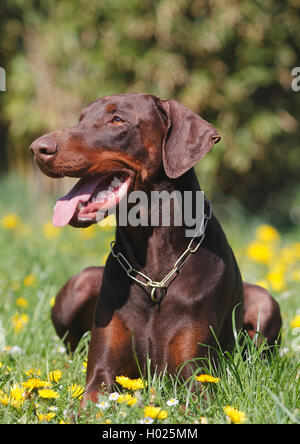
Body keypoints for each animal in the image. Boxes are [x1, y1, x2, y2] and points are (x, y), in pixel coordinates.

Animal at [29, 93, 282, 402]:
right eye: (81, 118)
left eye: (117, 120)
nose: (37, 148)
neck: (154, 271)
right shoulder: (101, 372)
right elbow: (91, 392)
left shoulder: (195, 377)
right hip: (77, 287)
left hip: (265, 304)